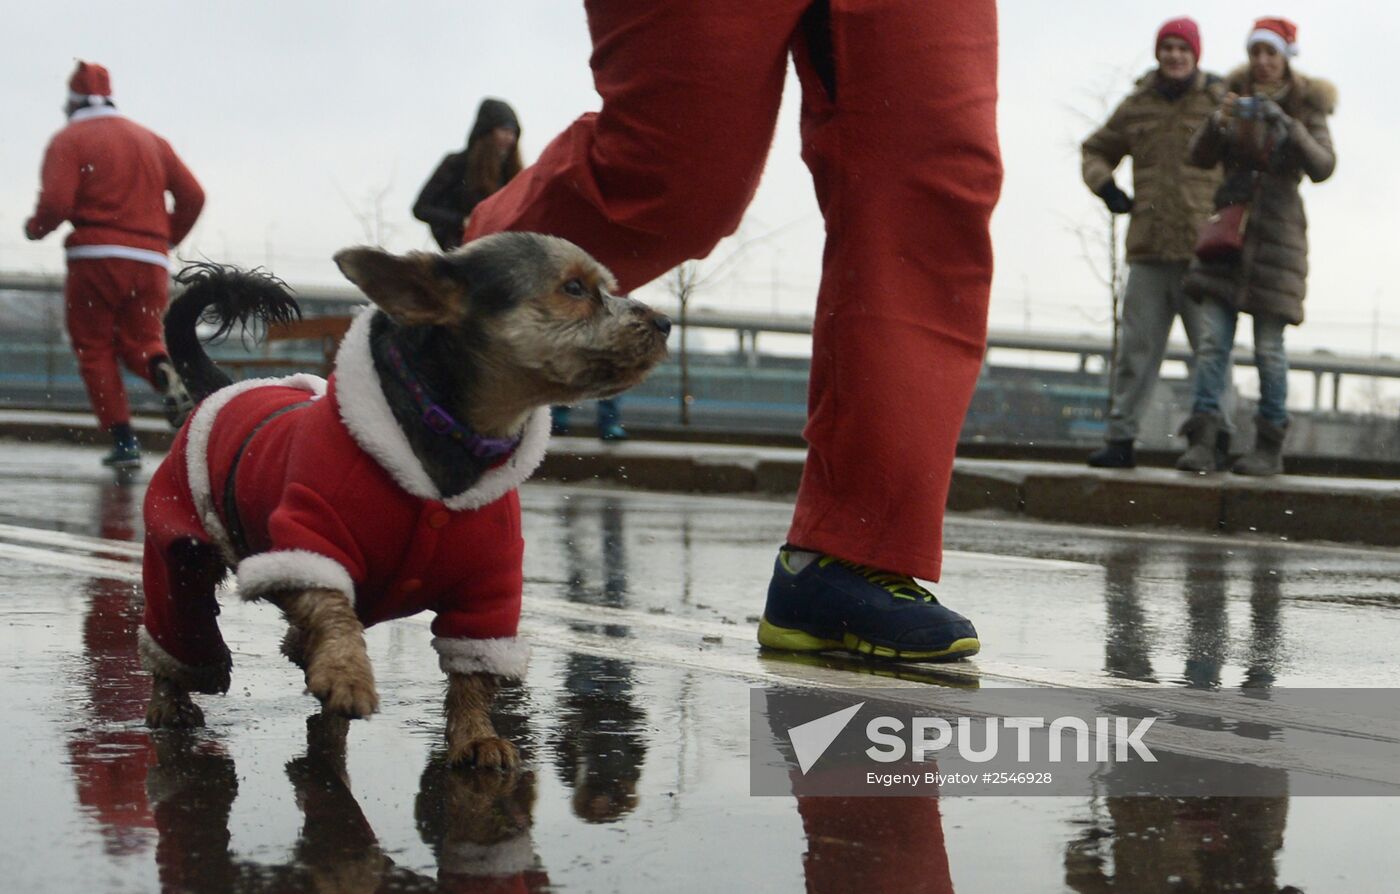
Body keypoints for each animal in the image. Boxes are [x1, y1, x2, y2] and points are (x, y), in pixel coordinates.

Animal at [137, 232, 672, 772]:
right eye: (574, 288)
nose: (665, 322)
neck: (455, 440)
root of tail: (224, 389)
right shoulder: (311, 537)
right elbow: (332, 608)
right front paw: (348, 674)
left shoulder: (490, 583)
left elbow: (473, 668)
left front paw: (476, 735)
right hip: (179, 551)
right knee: (176, 630)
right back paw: (172, 701)